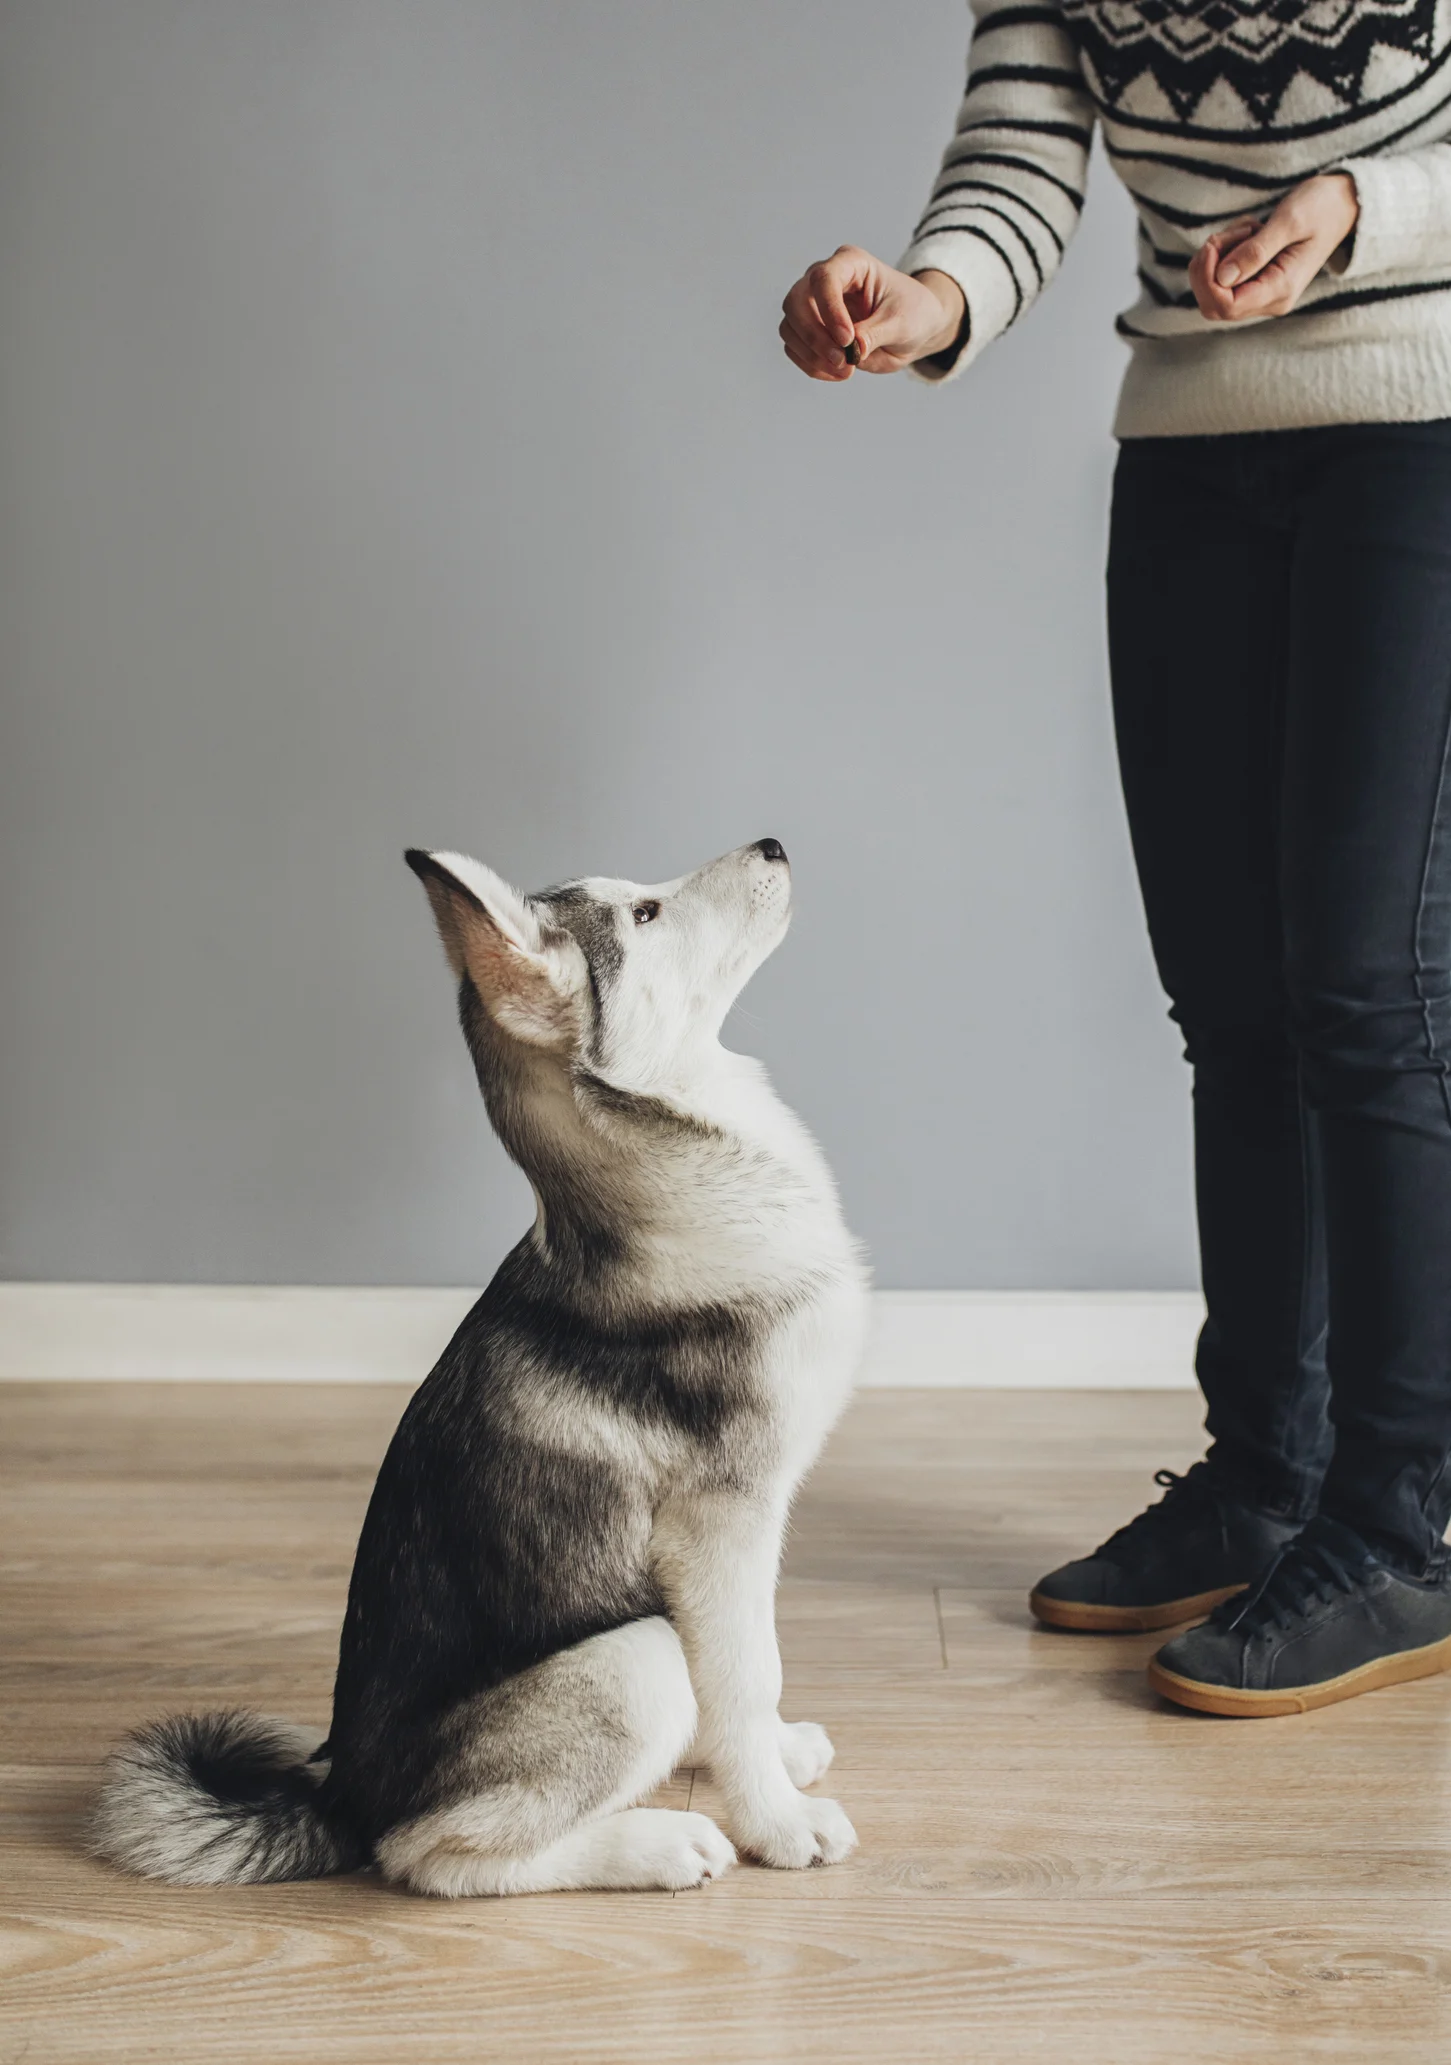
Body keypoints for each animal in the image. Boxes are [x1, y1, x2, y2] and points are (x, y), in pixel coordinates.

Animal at [93, 834, 875, 1891]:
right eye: (645, 916)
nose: (774, 843)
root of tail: (341, 1795)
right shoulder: (721, 1523)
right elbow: (748, 1671)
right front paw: (777, 1821)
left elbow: (748, 1678)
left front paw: (776, 1761)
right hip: (635, 1658)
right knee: (434, 1855)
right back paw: (658, 1843)